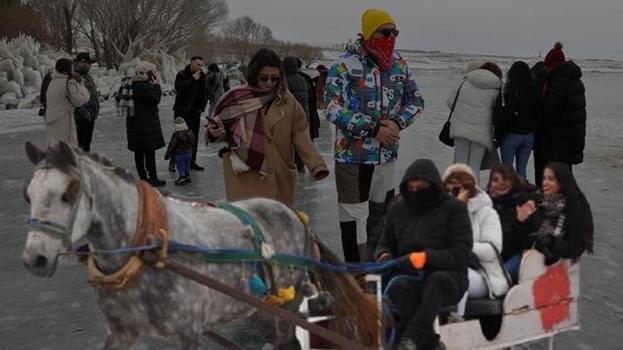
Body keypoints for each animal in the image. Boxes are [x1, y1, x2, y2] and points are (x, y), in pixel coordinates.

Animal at [22, 141, 378, 348]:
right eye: (28, 194)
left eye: (68, 193)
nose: (34, 259)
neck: (144, 248)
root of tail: (295, 215)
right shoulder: (121, 332)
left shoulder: (187, 329)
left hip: (288, 304)